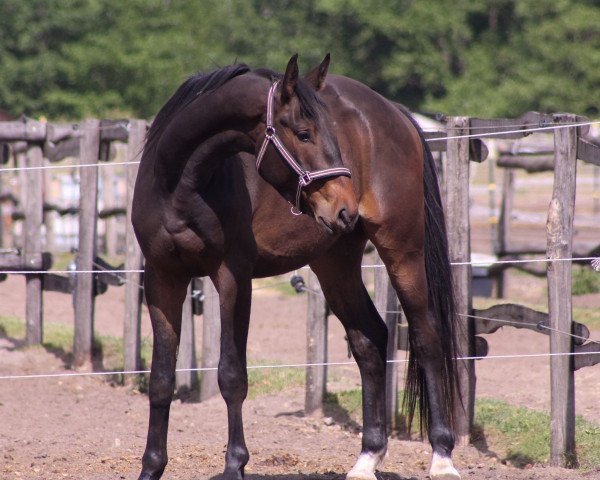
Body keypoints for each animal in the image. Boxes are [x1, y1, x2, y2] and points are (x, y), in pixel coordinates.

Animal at [131, 54, 460, 480]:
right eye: (304, 134)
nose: (345, 207)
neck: (180, 184)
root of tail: (396, 112)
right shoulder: (162, 278)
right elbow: (160, 378)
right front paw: (151, 467)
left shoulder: (233, 277)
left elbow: (231, 375)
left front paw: (235, 465)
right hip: (334, 262)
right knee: (370, 340)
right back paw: (367, 458)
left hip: (402, 249)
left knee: (426, 337)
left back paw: (442, 457)